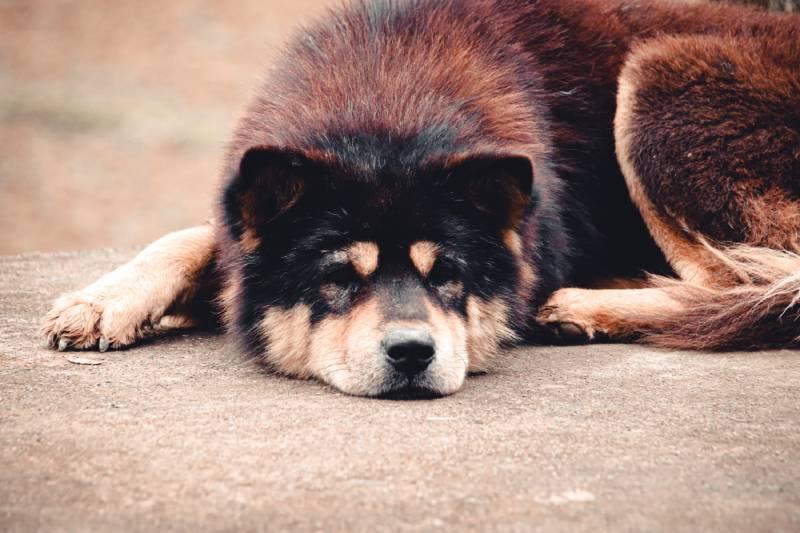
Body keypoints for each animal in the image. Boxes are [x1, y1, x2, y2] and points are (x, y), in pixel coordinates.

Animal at [39, 0, 800, 396]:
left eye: (449, 276)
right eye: (339, 278)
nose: (411, 354)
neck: (385, 109)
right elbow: (196, 238)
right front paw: (105, 300)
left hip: (658, 86)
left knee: (742, 282)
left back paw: (585, 305)